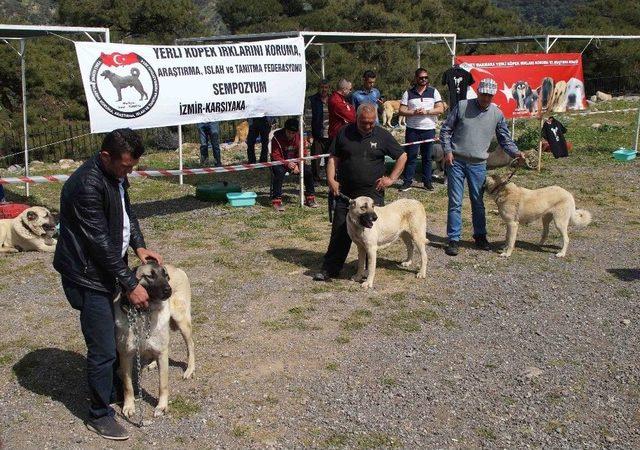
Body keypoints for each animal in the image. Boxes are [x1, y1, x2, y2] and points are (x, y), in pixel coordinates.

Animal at [114, 260, 195, 418]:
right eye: (150, 276)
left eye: (166, 276)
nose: (168, 290)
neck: (143, 313)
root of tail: (177, 268)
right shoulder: (126, 355)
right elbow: (128, 385)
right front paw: (129, 406)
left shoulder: (162, 353)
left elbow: (162, 385)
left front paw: (161, 407)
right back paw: (152, 363)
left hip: (181, 321)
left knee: (191, 345)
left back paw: (189, 369)